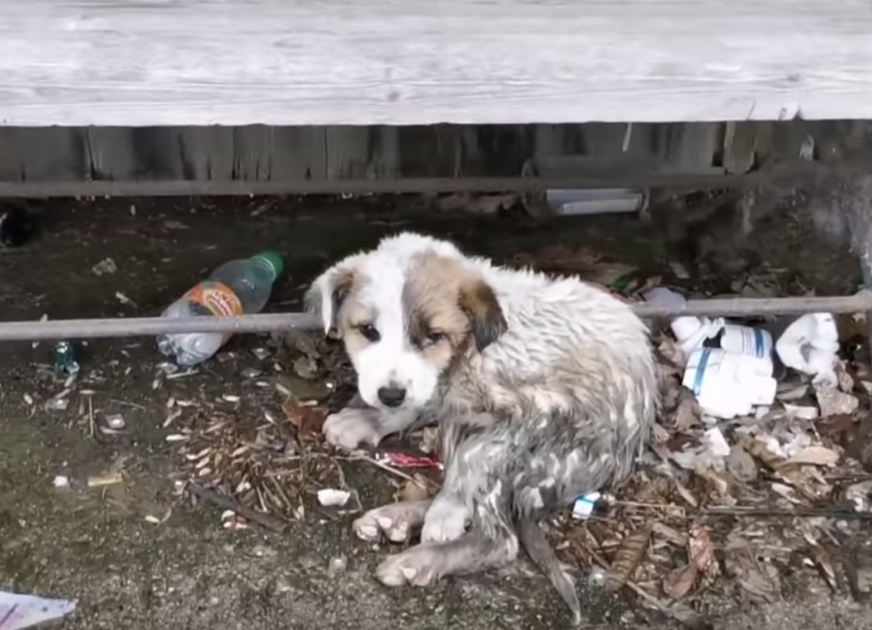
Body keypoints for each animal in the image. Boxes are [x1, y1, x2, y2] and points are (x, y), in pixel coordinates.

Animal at [304, 230, 656, 624]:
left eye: (434, 335)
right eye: (369, 331)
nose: (390, 394)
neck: (471, 348)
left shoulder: (534, 411)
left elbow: (471, 461)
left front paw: (446, 511)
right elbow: (427, 401)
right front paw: (368, 417)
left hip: (553, 452)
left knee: (499, 536)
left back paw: (419, 557)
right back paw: (396, 518)